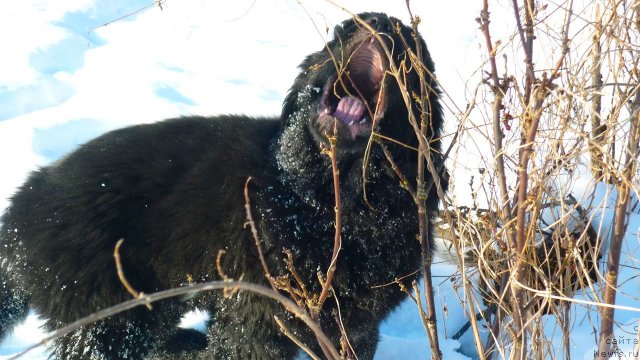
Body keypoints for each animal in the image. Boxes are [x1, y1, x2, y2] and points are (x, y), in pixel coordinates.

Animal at [0, 11, 444, 360]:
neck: (325, 204)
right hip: (108, 315)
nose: (375, 21)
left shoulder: (356, 323)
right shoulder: (255, 315)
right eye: (336, 34)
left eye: (416, 49)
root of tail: (18, 216)